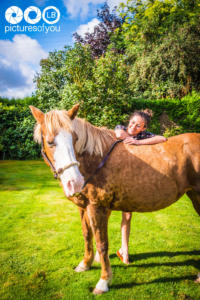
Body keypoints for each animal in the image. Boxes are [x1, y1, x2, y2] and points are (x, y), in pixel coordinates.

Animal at [30, 104, 200, 294]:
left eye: (75, 139)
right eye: (50, 142)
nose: (74, 182)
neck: (95, 160)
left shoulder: (97, 207)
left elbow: (102, 243)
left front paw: (103, 282)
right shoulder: (83, 207)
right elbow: (87, 235)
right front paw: (85, 264)